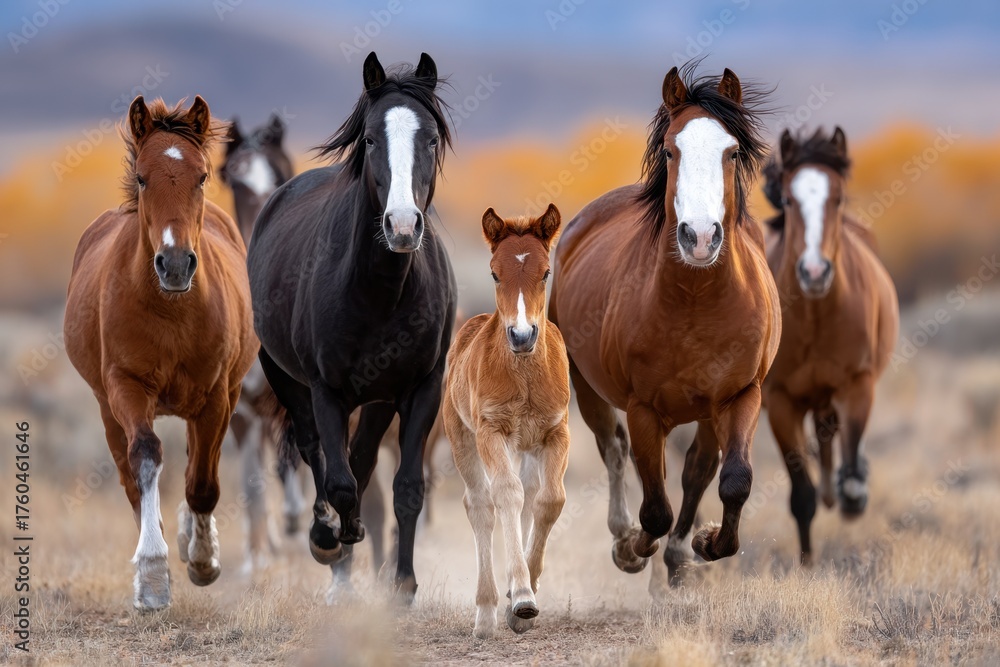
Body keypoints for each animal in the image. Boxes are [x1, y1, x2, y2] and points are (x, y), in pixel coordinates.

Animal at [64, 96, 257, 610]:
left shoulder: (216, 396)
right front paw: (152, 577)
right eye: (143, 177)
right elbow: (147, 456)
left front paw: (203, 560)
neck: (171, 310)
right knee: (131, 475)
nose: (173, 264)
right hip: (106, 406)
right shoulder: (126, 387)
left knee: (196, 462)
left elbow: (203, 482)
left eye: (203, 176)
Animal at [246, 52, 456, 601]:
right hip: (283, 375)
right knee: (315, 451)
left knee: (360, 462)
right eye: (370, 139)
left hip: (379, 398)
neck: (381, 292)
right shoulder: (327, 390)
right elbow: (337, 481)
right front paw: (330, 541)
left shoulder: (421, 388)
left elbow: (406, 487)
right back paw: (329, 539)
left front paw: (402, 585)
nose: (402, 226)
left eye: (431, 138)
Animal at [444, 205, 571, 638]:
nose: (521, 335)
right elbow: (506, 495)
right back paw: (485, 614)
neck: (526, 376)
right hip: (461, 438)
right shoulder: (490, 431)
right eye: (494, 274)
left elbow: (549, 500)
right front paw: (521, 595)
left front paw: (523, 598)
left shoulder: (556, 432)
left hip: (527, 447)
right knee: (481, 504)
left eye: (546, 272)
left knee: (530, 494)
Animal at [549, 64, 781, 585]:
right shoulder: (643, 408)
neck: (695, 303)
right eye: (672, 150)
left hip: (710, 411)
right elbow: (654, 507)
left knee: (698, 468)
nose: (700, 237)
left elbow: (733, 480)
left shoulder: (741, 395)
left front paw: (704, 543)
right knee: (615, 450)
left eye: (732, 151)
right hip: (586, 384)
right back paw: (627, 538)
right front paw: (632, 550)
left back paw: (678, 555)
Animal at [761, 127, 899, 564]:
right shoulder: (781, 400)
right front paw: (807, 567)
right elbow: (801, 497)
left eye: (837, 198)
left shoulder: (857, 386)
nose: (815, 271)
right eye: (789, 200)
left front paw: (853, 494)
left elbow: (851, 474)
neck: (815, 316)